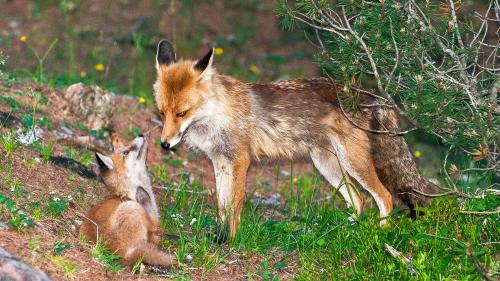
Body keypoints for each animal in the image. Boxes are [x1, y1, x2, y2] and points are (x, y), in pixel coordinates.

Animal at [80, 136, 176, 266]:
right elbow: (155, 233)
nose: (141, 135)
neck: (130, 192)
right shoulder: (152, 222)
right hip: (132, 208)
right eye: (125, 152)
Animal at [153, 39, 438, 238]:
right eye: (162, 112)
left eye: (182, 113)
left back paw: (379, 236)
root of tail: (367, 94)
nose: (164, 144)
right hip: (326, 165)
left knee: (385, 198)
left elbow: (234, 208)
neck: (216, 115)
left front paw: (230, 240)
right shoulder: (221, 163)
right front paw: (219, 236)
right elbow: (223, 207)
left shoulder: (239, 161)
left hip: (353, 163)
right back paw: (346, 231)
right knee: (359, 200)